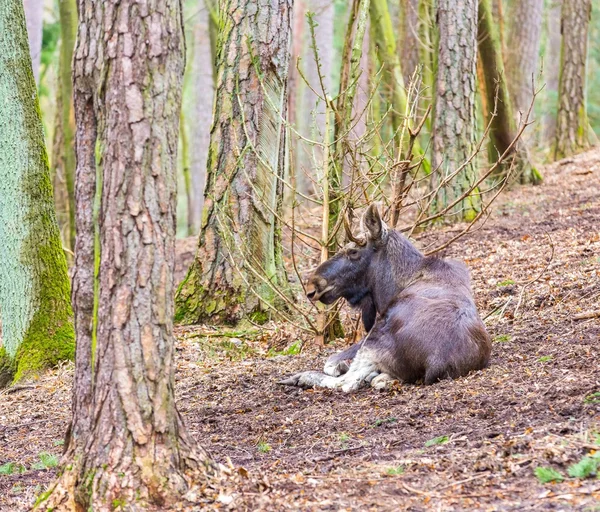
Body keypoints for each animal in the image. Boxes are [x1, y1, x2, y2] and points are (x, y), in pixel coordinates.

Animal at [278, 204, 490, 392]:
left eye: (353, 251)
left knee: (347, 383)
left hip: (376, 336)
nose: (312, 286)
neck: (390, 288)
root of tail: (436, 364)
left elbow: (330, 362)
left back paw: (302, 377)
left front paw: (341, 367)